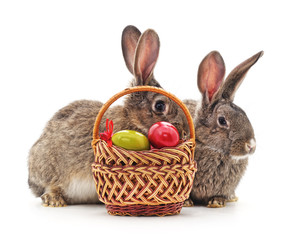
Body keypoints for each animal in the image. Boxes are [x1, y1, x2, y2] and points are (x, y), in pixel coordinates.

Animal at [28, 25, 189, 206]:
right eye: (160, 106)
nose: (184, 132)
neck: (132, 119)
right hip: (48, 167)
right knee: (50, 185)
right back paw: (54, 200)